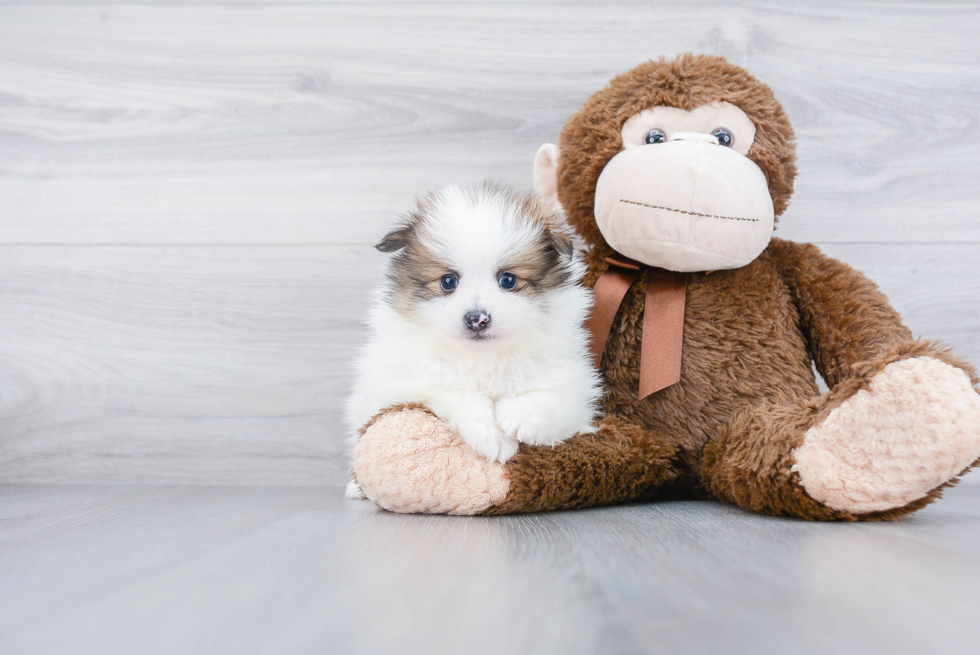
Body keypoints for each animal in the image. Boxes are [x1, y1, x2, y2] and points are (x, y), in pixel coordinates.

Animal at [344, 179, 604, 498]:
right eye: (448, 281)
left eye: (508, 280)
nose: (477, 318)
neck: (483, 357)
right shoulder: (410, 383)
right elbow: (461, 395)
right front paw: (494, 437)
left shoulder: (574, 384)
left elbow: (548, 397)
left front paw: (519, 419)